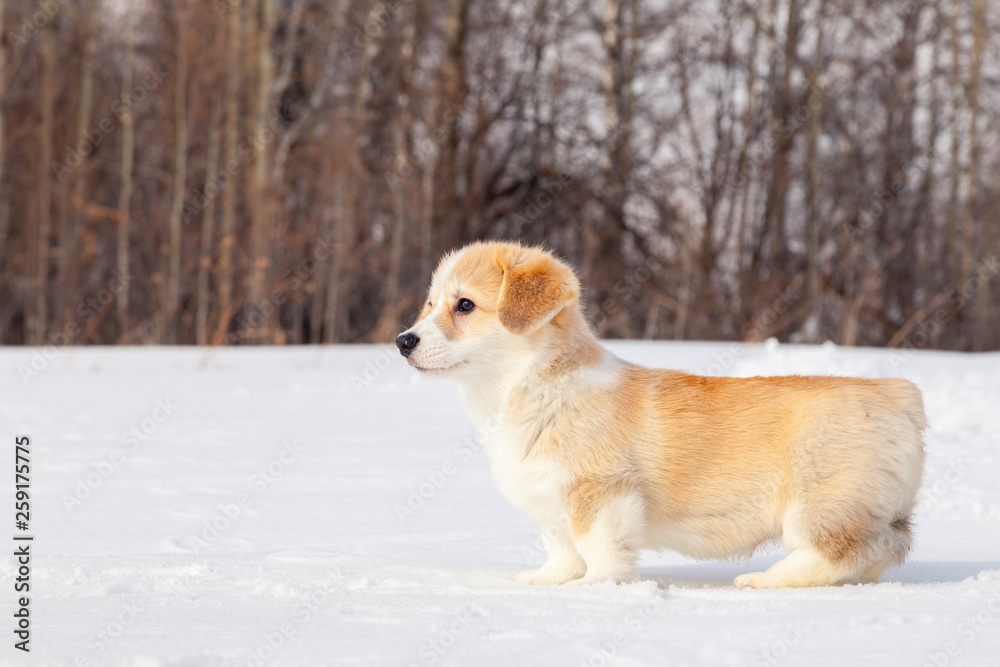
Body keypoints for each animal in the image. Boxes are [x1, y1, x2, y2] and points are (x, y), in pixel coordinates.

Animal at [394, 243, 924, 588]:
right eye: (430, 304)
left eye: (465, 305)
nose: (402, 341)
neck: (525, 387)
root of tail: (899, 395)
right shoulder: (553, 500)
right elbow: (560, 546)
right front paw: (550, 580)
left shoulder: (601, 493)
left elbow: (598, 549)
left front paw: (594, 588)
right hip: (873, 512)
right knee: (882, 549)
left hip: (819, 506)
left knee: (834, 552)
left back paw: (763, 580)